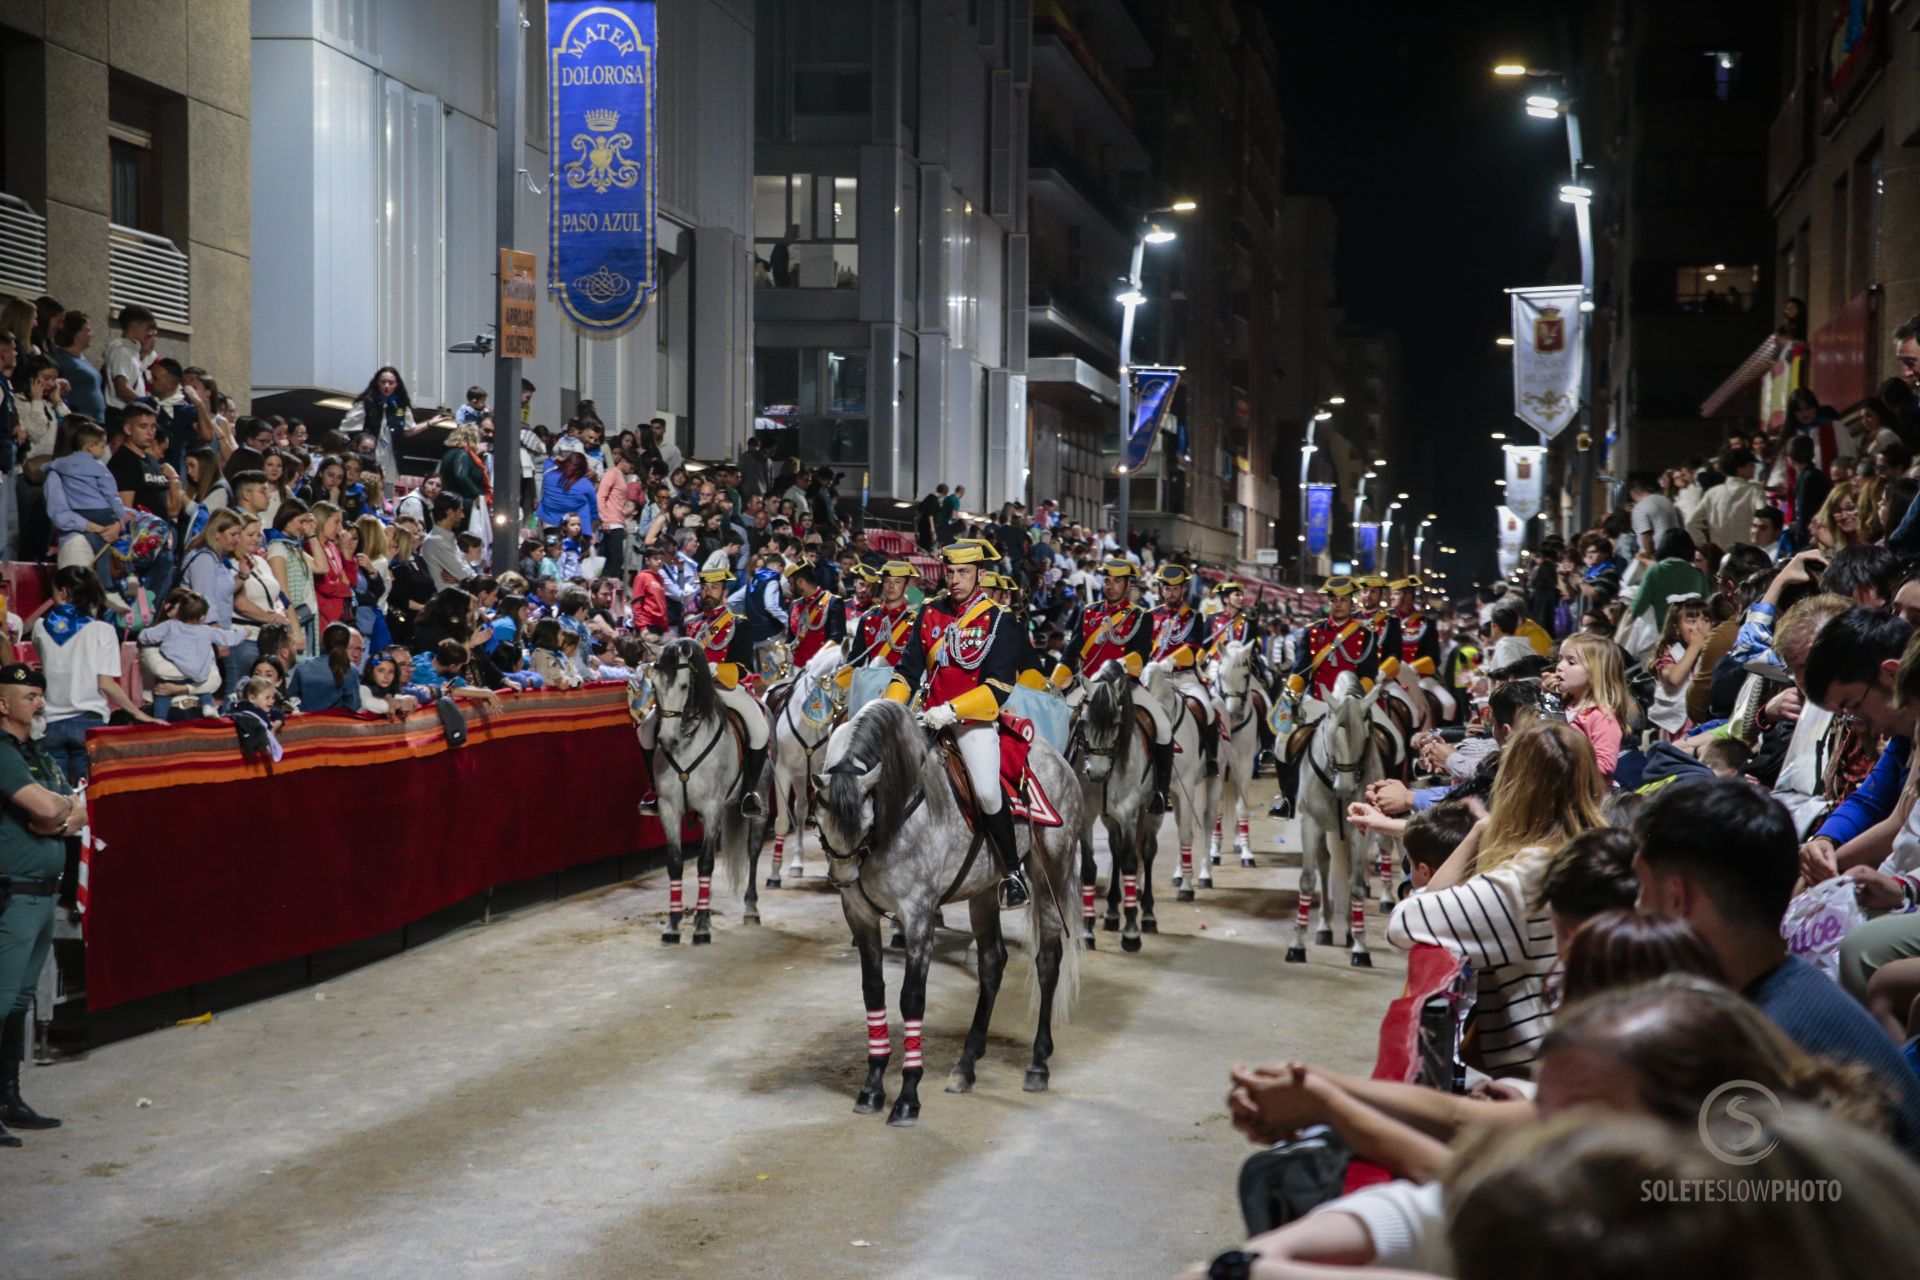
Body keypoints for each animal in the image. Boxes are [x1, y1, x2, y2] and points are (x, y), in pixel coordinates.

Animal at [641, 637, 768, 940]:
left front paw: (699, 927)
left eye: (684, 686)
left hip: (762, 797)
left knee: (753, 848)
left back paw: (750, 909)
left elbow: (706, 862)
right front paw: (674, 925)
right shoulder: (669, 808)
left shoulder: (712, 807)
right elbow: (675, 863)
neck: (687, 742)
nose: (667, 740)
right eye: (654, 685)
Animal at [768, 644, 852, 886]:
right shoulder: (783, 771)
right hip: (798, 776)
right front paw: (774, 873)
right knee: (800, 810)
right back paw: (796, 864)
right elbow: (782, 820)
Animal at [810, 694, 1082, 1128]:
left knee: (1047, 962)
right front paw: (872, 1086)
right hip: (983, 892)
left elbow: (912, 998)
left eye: (866, 821)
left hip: (1050, 873)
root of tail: (1056, 758)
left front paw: (907, 1097)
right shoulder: (861, 916)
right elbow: (873, 992)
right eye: (820, 820)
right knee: (992, 962)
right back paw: (966, 1066)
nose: (843, 878)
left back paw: (1038, 1064)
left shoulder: (918, 916)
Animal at [1282, 675, 1390, 967]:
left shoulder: (1361, 831)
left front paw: (1360, 947)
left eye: (1364, 737)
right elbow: (1308, 880)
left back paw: (1350, 931)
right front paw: (1297, 945)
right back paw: (1324, 927)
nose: (1344, 787)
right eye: (1330, 737)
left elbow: (1356, 886)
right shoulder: (1310, 824)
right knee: (1324, 864)